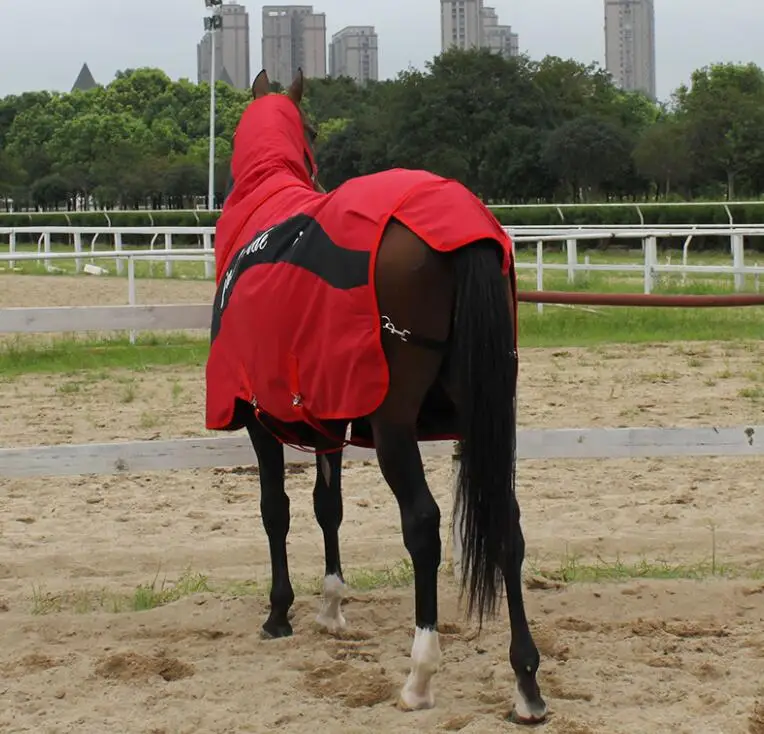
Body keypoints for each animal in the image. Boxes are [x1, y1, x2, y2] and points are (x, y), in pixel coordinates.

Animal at [204, 67, 547, 724]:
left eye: (311, 130)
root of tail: (461, 225)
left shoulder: (260, 417)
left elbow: (275, 510)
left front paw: (279, 612)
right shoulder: (327, 412)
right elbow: (327, 506)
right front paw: (332, 606)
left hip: (394, 425)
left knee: (424, 525)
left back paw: (420, 675)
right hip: (486, 415)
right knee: (508, 523)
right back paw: (526, 684)